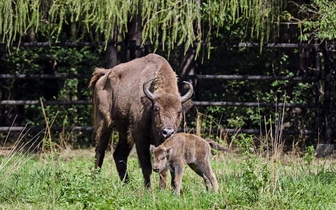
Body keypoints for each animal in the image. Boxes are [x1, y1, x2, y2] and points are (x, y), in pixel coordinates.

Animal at [88, 53, 194, 188]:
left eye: (179, 111)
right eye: (156, 109)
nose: (168, 132)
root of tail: (104, 74)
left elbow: (163, 168)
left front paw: (162, 189)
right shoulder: (140, 138)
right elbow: (146, 166)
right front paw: (149, 189)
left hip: (125, 133)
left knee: (119, 155)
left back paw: (126, 184)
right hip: (104, 124)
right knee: (99, 152)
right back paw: (95, 182)